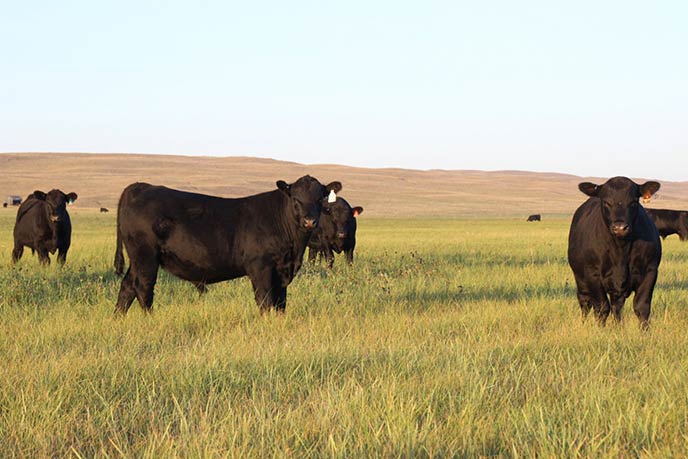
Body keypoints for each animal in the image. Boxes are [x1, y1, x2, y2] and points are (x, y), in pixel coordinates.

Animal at [113, 176, 341, 315]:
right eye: (295, 198)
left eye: (320, 198)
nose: (309, 221)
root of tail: (139, 186)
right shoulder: (260, 266)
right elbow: (265, 300)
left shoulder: (281, 270)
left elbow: (280, 303)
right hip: (146, 257)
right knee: (143, 288)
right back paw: (149, 318)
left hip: (138, 259)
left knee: (127, 287)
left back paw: (118, 318)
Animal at [567, 176, 661, 329]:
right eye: (606, 202)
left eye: (633, 201)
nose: (620, 227)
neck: (621, 250)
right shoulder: (592, 274)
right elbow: (601, 307)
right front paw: (600, 331)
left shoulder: (650, 271)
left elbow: (642, 306)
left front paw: (645, 332)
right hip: (581, 279)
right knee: (585, 302)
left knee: (617, 306)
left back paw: (618, 327)